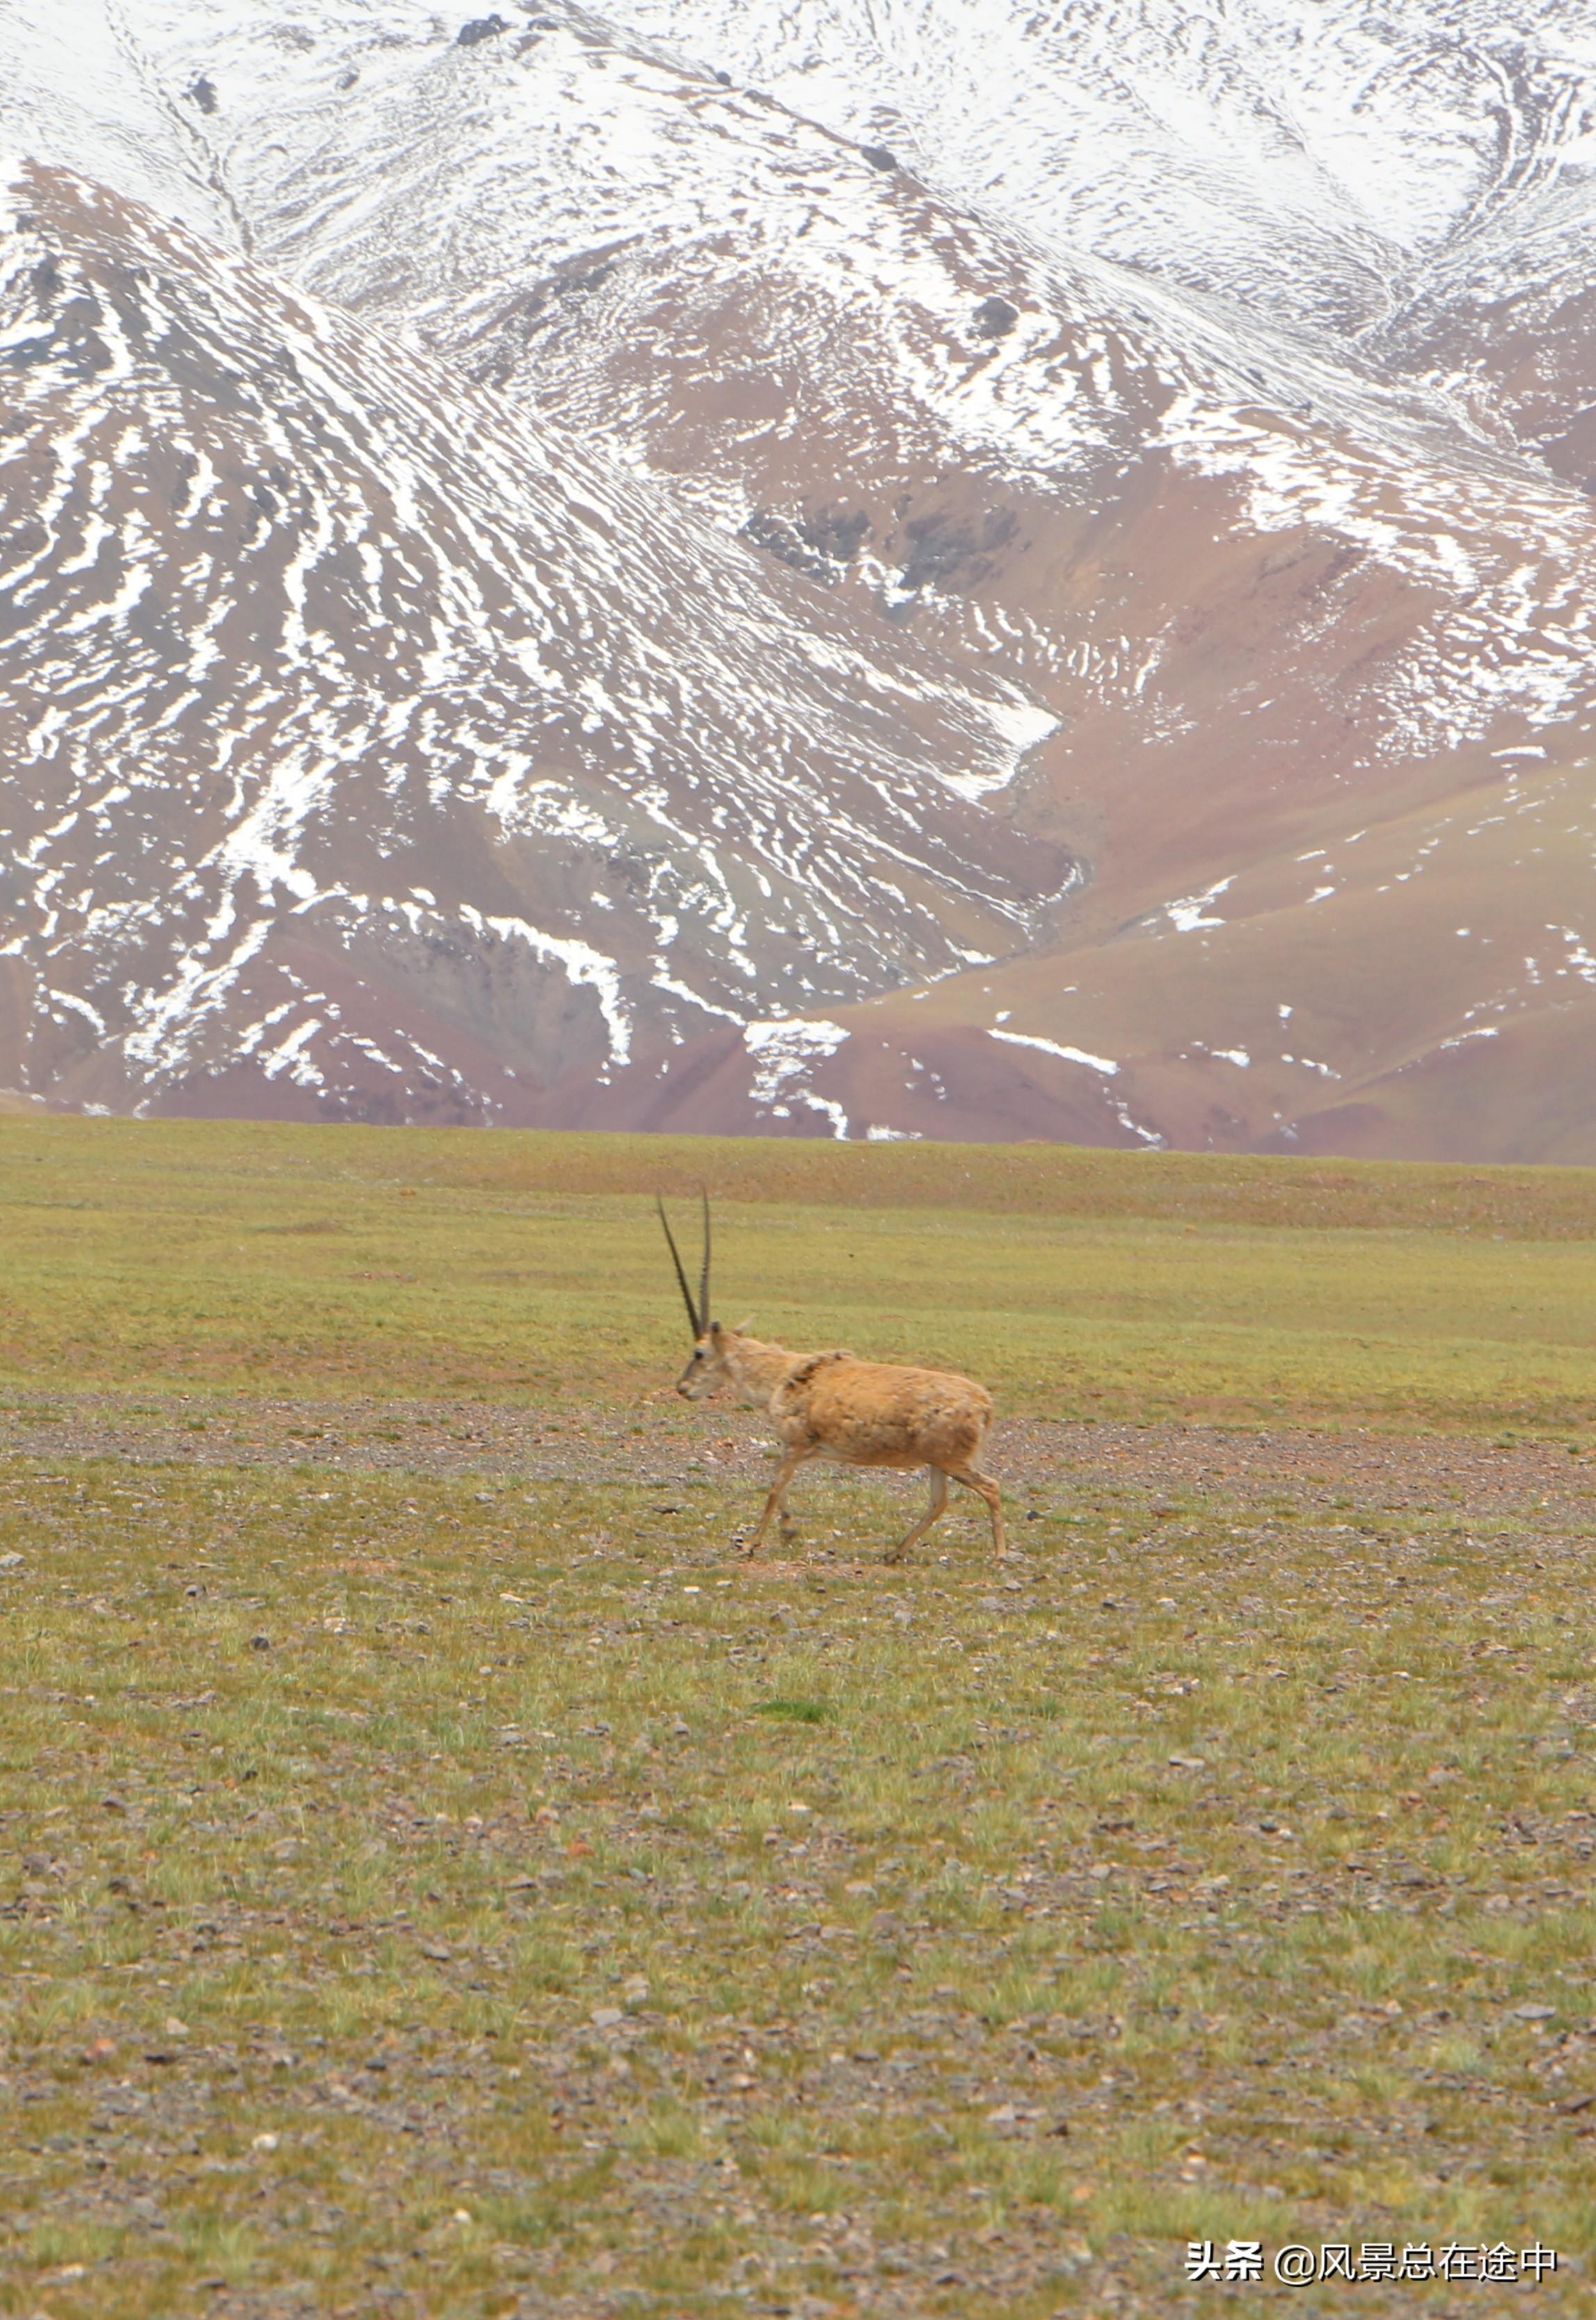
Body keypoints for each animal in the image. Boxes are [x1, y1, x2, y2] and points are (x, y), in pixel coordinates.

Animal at [649, 1197, 1002, 1559]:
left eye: (699, 1353)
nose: (683, 1388)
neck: (781, 1376)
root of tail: (984, 1404)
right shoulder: (800, 1449)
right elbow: (781, 1484)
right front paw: (788, 1530)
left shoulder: (796, 1443)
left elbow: (775, 1486)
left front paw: (751, 1542)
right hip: (937, 1463)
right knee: (939, 1502)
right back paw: (893, 1554)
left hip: (951, 1461)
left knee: (991, 1488)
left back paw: (999, 1553)